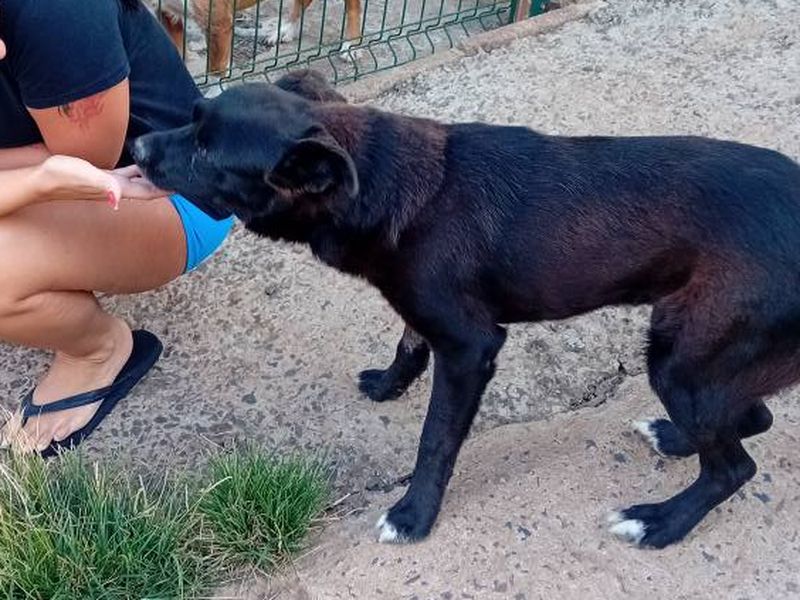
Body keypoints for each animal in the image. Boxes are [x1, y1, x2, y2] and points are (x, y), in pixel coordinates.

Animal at [132, 70, 800, 548]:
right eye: (191, 120)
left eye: (206, 152)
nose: (136, 144)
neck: (384, 183)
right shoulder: (424, 314)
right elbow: (408, 343)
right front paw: (390, 385)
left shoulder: (470, 347)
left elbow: (437, 440)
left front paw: (413, 515)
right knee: (751, 418)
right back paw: (676, 437)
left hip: (681, 357)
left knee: (734, 468)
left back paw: (660, 523)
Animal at [152, 0, 363, 73]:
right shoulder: (168, 14)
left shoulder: (220, 22)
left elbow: (217, 73)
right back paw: (286, 30)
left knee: (353, 7)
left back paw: (351, 46)